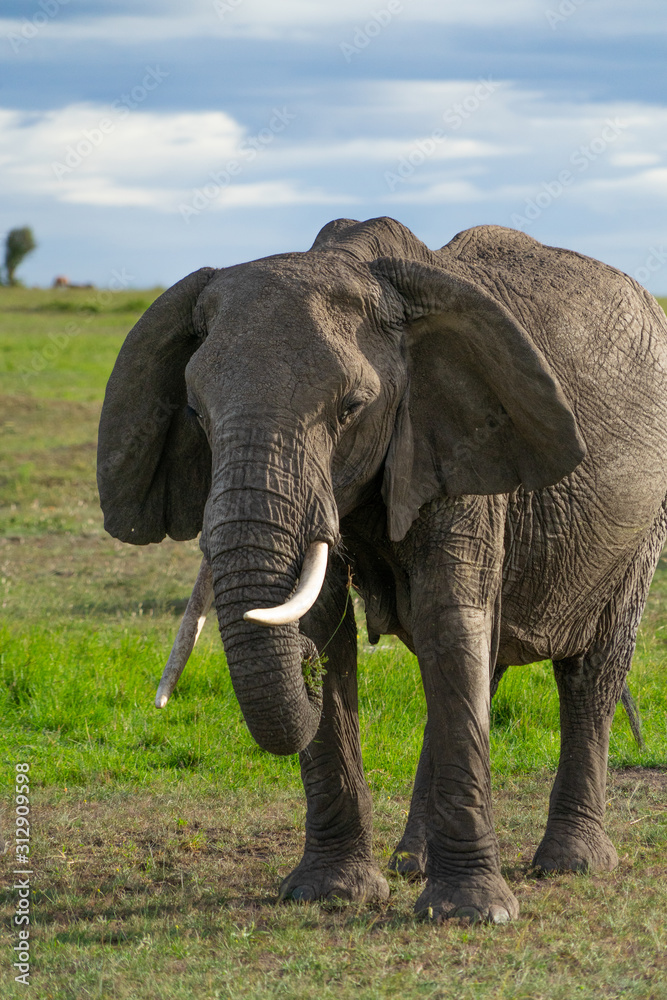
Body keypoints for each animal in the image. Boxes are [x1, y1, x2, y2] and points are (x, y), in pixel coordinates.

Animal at [97, 217, 667, 924]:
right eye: (197, 414)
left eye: (350, 409)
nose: (301, 674)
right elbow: (328, 624)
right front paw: (329, 894)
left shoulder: (462, 443)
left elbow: (450, 618)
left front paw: (471, 914)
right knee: (479, 668)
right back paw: (410, 863)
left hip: (642, 524)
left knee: (590, 667)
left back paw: (571, 864)